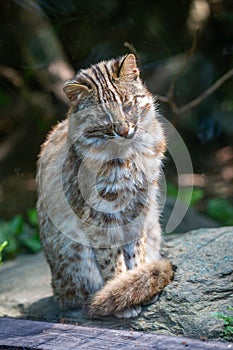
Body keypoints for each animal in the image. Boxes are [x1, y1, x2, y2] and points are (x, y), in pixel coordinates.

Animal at [36, 54, 173, 318]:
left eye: (128, 105)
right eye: (103, 117)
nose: (124, 130)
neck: (128, 153)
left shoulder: (139, 205)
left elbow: (136, 250)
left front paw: (136, 282)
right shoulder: (99, 215)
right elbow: (111, 258)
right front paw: (122, 294)